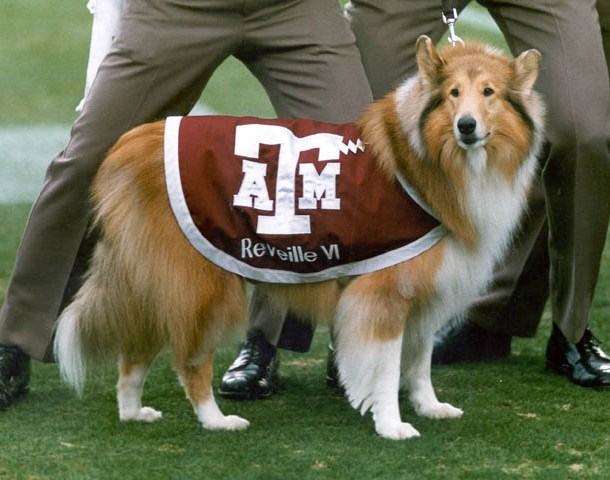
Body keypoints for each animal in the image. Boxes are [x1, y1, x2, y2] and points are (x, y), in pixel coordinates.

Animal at [54, 37, 540, 438]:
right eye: (453, 93)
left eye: (489, 93)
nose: (466, 126)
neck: (426, 158)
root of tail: (129, 146)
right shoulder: (384, 294)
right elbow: (385, 369)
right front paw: (392, 425)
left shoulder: (424, 295)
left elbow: (419, 363)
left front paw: (430, 406)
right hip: (204, 286)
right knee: (188, 361)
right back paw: (216, 420)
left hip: (158, 280)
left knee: (134, 353)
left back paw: (133, 412)